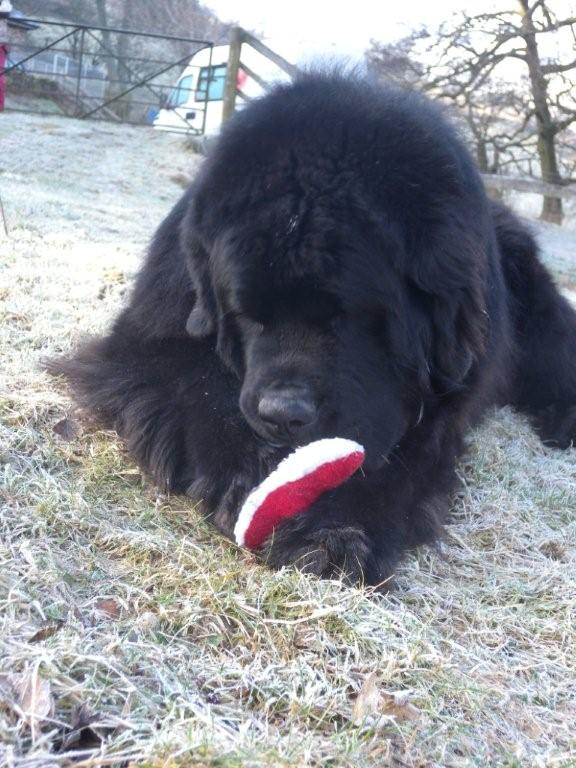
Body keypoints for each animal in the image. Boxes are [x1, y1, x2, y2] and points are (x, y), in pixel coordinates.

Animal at [49, 75, 576, 584]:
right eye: (245, 314)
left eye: (349, 317)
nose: (283, 415)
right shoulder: (151, 336)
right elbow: (194, 384)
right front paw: (243, 470)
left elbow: (400, 453)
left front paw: (336, 532)